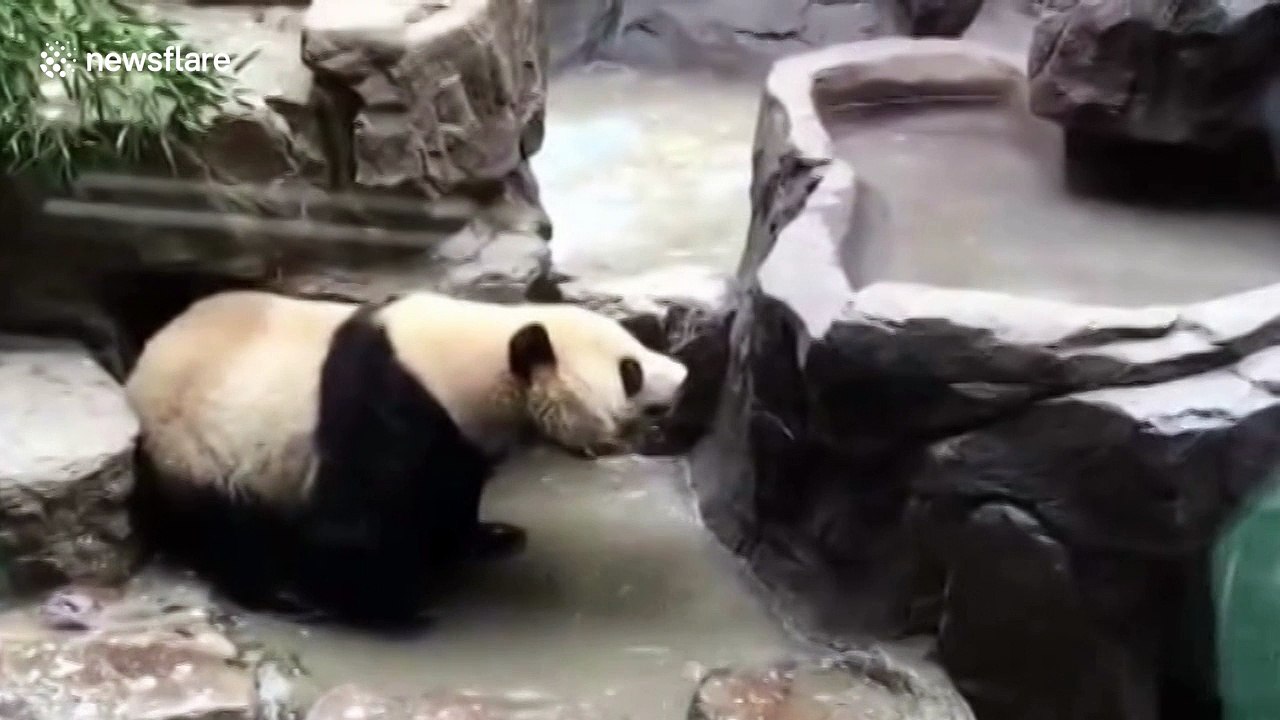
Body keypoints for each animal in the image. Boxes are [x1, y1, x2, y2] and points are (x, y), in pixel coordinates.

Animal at [124, 289, 689, 627]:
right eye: (631, 370)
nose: (682, 376)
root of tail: (141, 365)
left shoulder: (459, 433)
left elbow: (451, 487)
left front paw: (485, 538)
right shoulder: (381, 399)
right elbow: (355, 521)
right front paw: (396, 607)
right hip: (199, 441)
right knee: (226, 525)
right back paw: (282, 595)